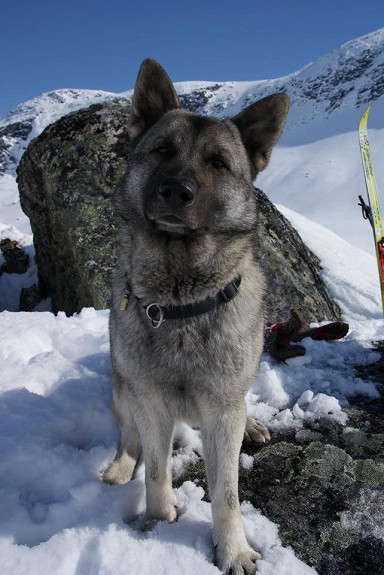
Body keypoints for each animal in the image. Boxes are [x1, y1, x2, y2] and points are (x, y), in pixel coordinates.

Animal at [102, 59, 288, 575]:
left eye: (218, 163)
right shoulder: (149, 398)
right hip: (122, 383)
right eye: (162, 150)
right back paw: (121, 465)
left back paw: (254, 425)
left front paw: (234, 550)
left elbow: (227, 494)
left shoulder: (222, 409)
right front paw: (158, 516)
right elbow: (156, 468)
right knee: (129, 437)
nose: (174, 190)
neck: (182, 304)